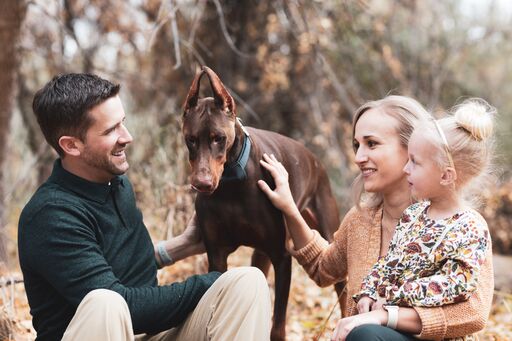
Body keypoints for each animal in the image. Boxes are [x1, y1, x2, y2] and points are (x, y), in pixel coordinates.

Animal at [182, 66, 342, 340]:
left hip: (329, 232)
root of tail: (315, 160)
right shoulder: (217, 254)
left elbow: (278, 324)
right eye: (191, 139)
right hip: (261, 253)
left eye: (218, 138)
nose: (202, 184)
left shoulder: (282, 257)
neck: (231, 184)